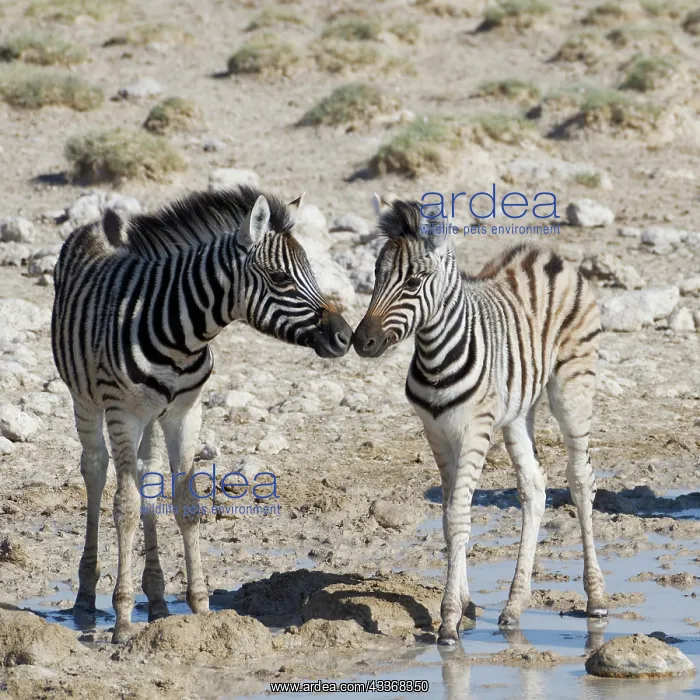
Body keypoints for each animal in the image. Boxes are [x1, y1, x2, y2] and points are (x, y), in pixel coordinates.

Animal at [51, 185, 352, 644]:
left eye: (312, 274)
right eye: (282, 279)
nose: (346, 336)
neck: (179, 335)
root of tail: (102, 219)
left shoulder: (184, 411)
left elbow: (186, 503)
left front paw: (199, 607)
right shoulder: (123, 411)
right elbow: (125, 508)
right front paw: (122, 620)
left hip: (151, 416)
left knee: (147, 475)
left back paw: (157, 599)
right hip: (86, 400)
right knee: (97, 470)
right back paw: (87, 597)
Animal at [353, 196, 607, 645]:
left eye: (414, 283)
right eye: (375, 278)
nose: (361, 342)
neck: (434, 356)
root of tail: (545, 253)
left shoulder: (474, 430)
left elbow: (458, 516)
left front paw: (450, 619)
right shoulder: (436, 432)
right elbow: (448, 516)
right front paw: (464, 604)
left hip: (573, 389)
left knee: (580, 480)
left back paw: (594, 598)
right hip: (517, 413)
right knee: (534, 487)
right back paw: (514, 605)